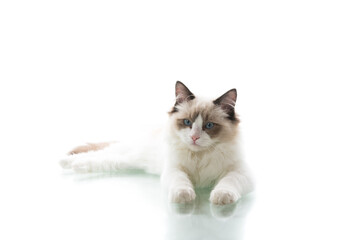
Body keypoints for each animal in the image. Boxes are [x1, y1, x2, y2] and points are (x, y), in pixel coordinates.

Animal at [59, 81, 253, 204]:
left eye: (209, 125)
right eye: (187, 122)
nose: (194, 137)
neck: (200, 155)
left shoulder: (240, 173)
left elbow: (228, 183)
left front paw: (221, 197)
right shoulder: (174, 170)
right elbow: (181, 183)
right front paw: (184, 196)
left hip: (126, 162)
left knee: (100, 160)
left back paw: (74, 165)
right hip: (127, 152)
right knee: (99, 153)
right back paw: (65, 161)